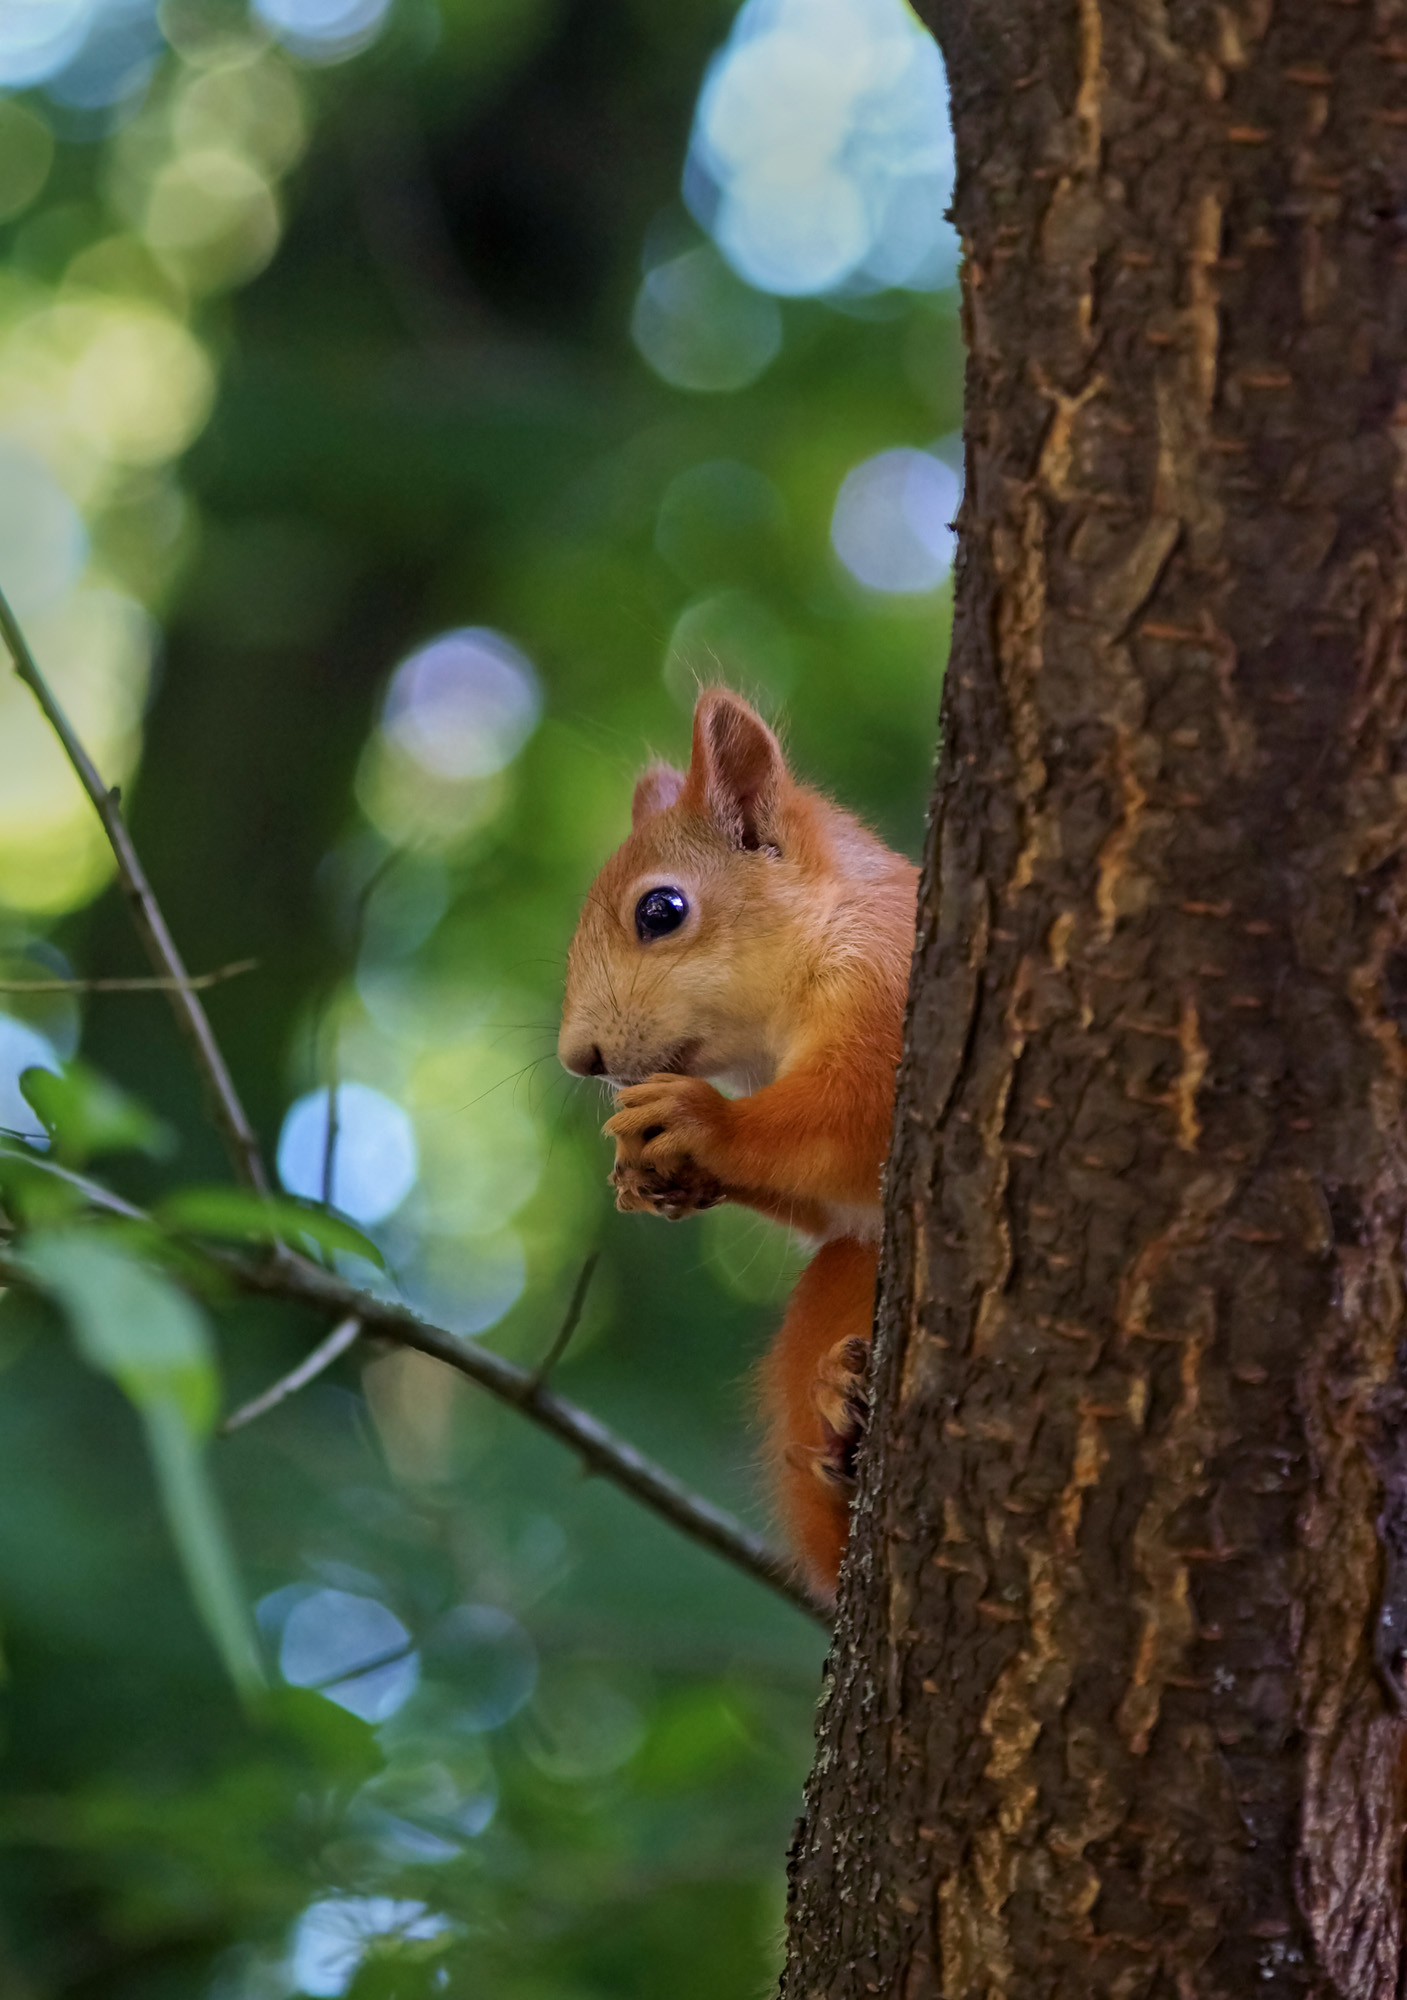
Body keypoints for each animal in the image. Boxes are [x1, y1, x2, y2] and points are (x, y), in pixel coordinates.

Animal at [555, 688, 919, 1592]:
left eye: (660, 910)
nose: (580, 1058)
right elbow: (831, 1201)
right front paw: (659, 1174)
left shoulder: (888, 992)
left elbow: (846, 1122)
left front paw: (701, 1122)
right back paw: (840, 1424)